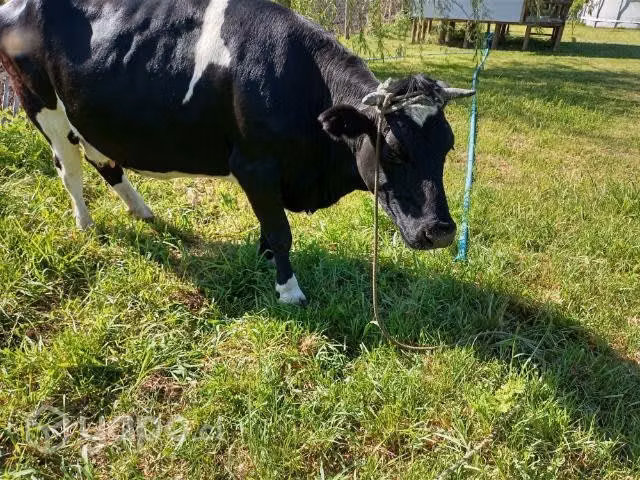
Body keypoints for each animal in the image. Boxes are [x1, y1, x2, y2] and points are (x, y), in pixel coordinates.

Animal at [0, 0, 474, 305]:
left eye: (449, 145)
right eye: (392, 148)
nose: (441, 232)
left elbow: (270, 227)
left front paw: (263, 259)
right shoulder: (254, 164)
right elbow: (281, 231)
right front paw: (288, 289)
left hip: (88, 118)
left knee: (106, 162)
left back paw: (143, 212)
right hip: (42, 107)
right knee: (70, 170)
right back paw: (86, 225)